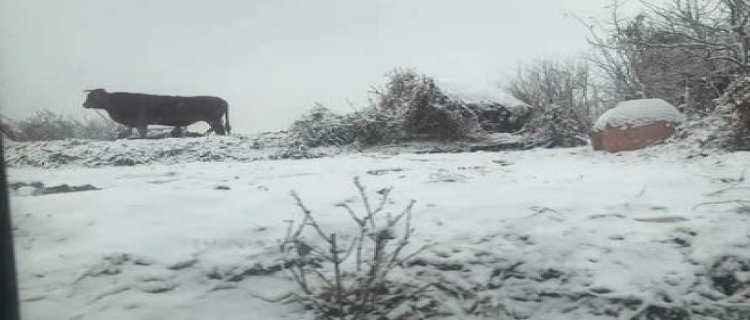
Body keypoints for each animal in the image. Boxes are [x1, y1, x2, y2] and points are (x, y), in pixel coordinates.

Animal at [81, 89, 231, 138]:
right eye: (88, 96)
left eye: (92, 97)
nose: (84, 104)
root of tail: (223, 100)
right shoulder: (134, 123)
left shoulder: (139, 122)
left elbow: (141, 133)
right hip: (215, 120)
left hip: (214, 120)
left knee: (220, 130)